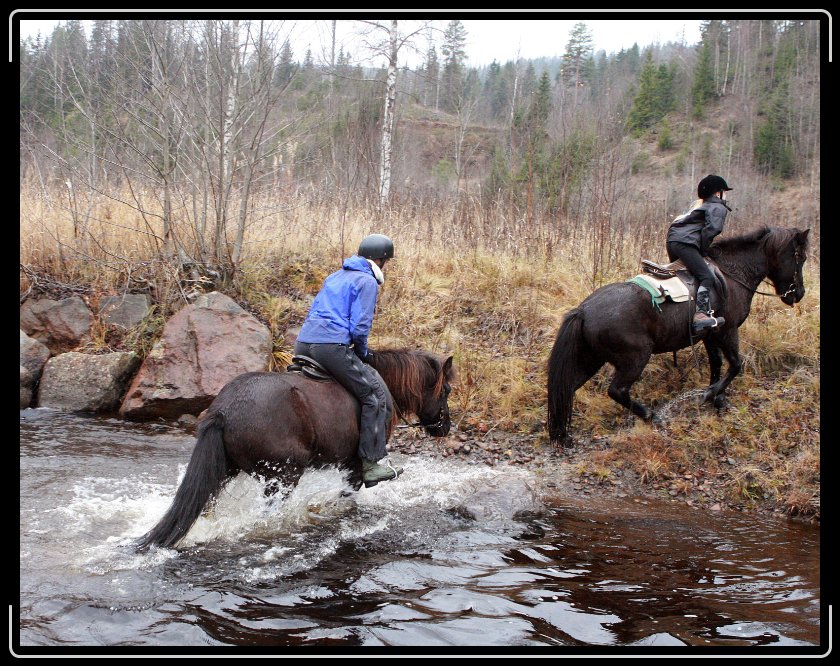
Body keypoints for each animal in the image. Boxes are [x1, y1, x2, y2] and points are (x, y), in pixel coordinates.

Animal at [139, 344, 452, 548]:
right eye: (446, 390)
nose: (445, 428)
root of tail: (224, 410)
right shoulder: (354, 466)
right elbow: (349, 495)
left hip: (223, 473)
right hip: (282, 476)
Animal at [548, 226, 812, 444]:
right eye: (801, 258)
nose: (798, 293)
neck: (731, 274)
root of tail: (584, 310)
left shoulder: (710, 335)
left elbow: (717, 364)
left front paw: (717, 398)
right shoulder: (727, 331)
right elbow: (736, 365)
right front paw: (709, 394)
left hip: (590, 359)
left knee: (568, 387)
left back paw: (563, 434)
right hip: (634, 358)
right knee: (617, 391)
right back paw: (651, 415)